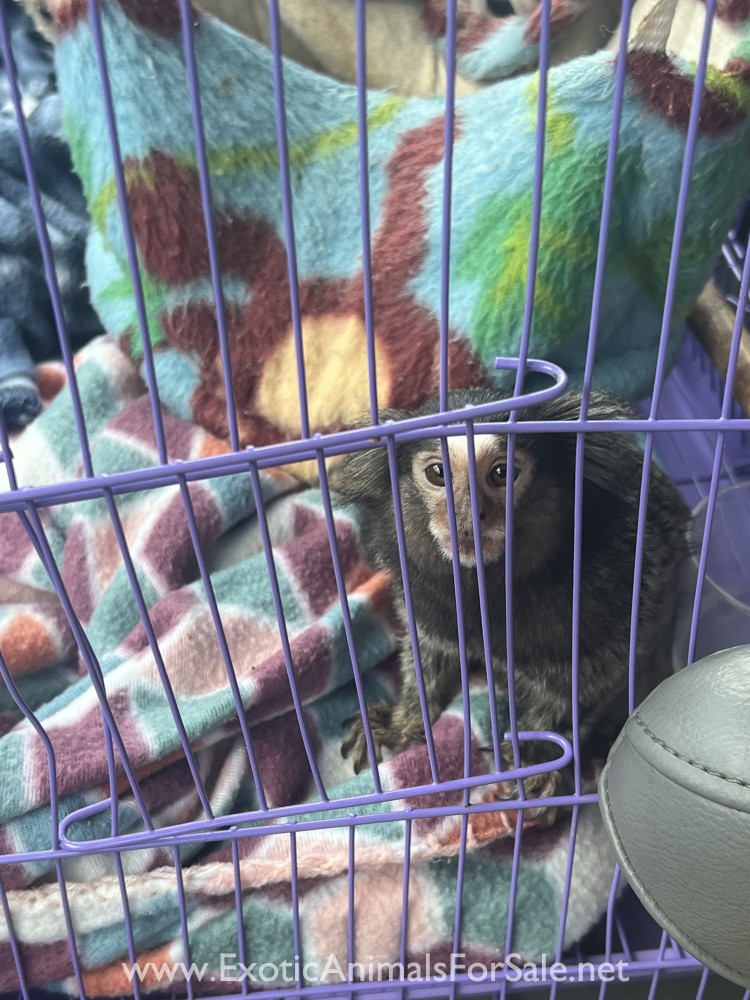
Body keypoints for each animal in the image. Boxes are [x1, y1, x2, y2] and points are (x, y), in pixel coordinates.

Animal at [334, 387, 689, 822]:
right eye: (437, 473)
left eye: (502, 473)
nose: (467, 514)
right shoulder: (426, 607)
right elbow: (428, 655)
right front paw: (404, 720)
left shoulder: (615, 611)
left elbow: (582, 690)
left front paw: (536, 762)